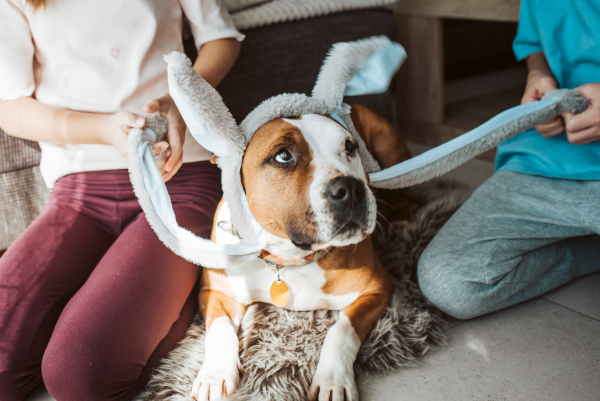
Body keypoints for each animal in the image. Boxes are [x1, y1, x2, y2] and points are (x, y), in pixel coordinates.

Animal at [192, 105, 408, 400]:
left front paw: (333, 381)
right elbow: (219, 328)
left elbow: (341, 331)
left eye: (349, 147)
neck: (289, 258)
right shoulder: (217, 292)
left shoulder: (376, 289)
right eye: (284, 156)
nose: (352, 188)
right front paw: (215, 374)